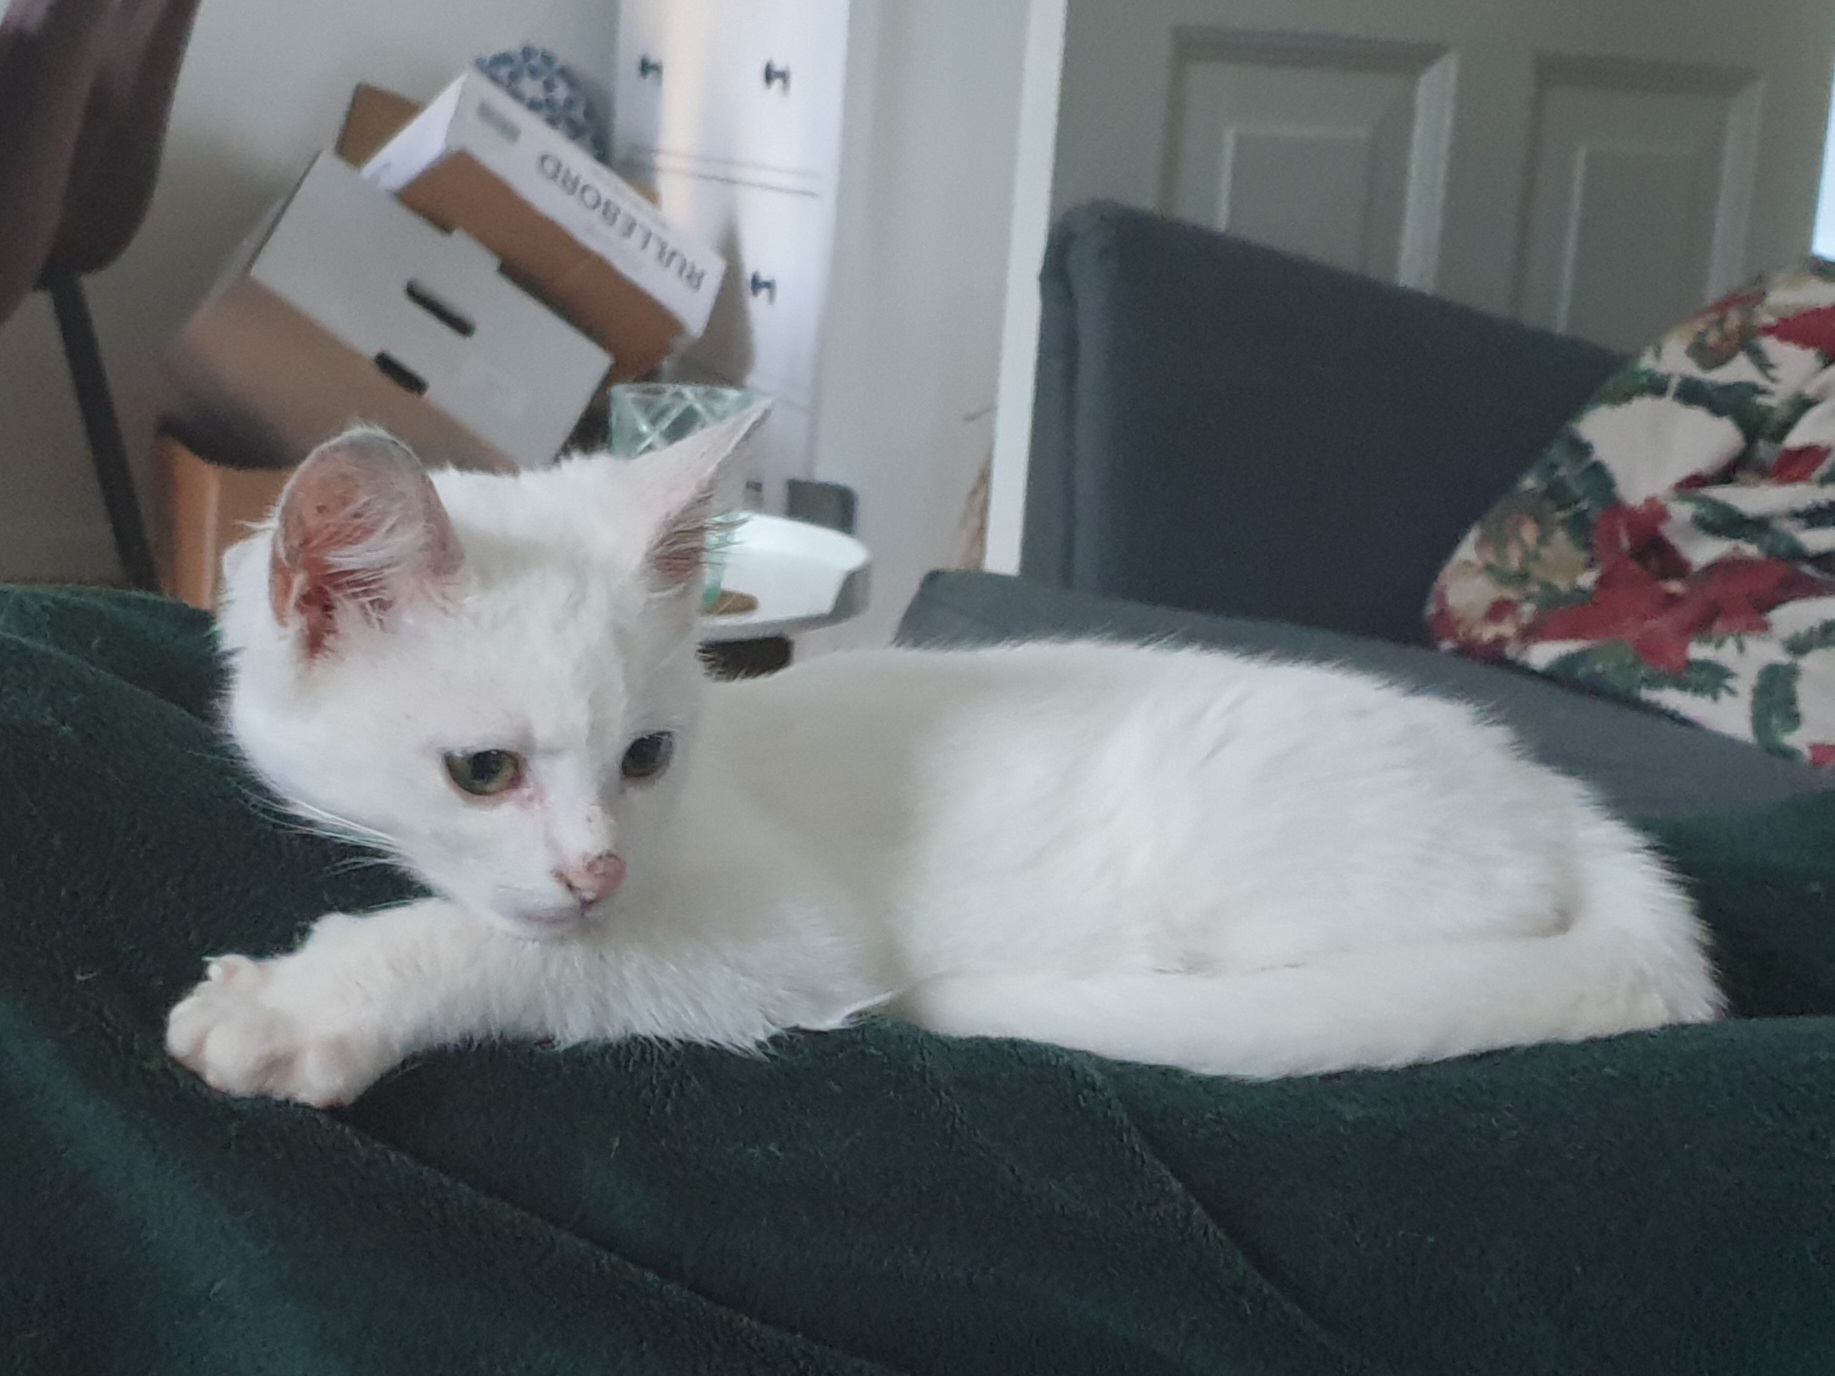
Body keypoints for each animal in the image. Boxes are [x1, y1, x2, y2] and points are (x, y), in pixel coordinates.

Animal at [168, 412, 1717, 1108]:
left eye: (647, 753)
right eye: (483, 772)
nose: (600, 866)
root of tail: (1569, 805)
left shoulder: (776, 940)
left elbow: (514, 949)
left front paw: (308, 999)